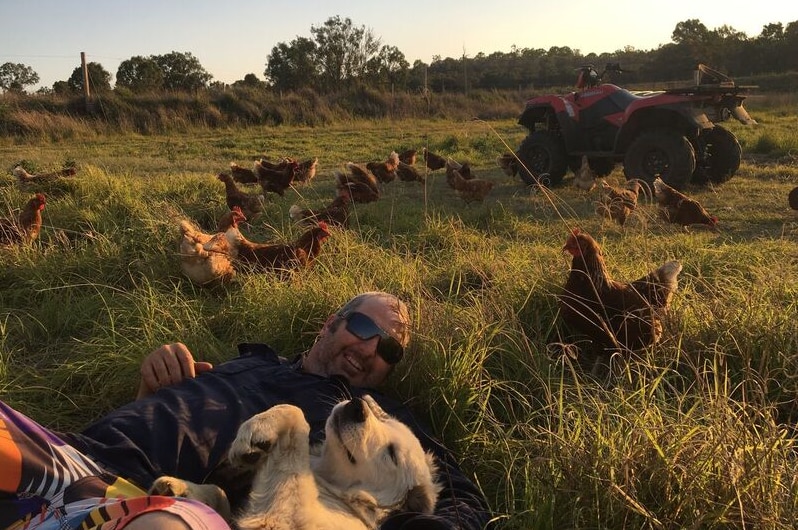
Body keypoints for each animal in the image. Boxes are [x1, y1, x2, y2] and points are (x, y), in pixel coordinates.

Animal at [150, 394, 444, 524]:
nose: (357, 405)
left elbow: (296, 414)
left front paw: (256, 433)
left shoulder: (282, 517)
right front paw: (182, 489)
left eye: (392, 454)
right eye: (381, 419)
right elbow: (220, 494)